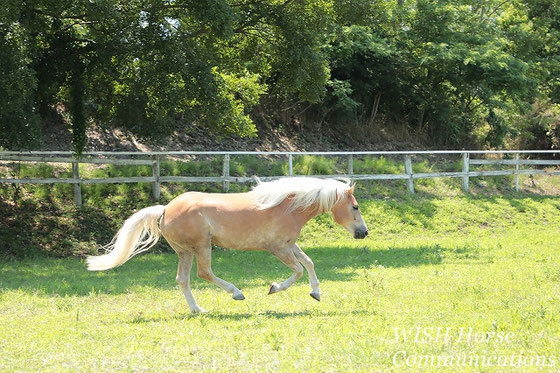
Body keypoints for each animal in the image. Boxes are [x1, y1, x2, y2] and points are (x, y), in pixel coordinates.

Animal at [86, 177, 368, 310]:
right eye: (355, 207)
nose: (363, 232)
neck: (287, 207)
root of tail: (165, 209)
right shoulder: (278, 248)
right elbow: (298, 270)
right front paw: (273, 288)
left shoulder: (289, 245)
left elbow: (309, 263)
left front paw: (316, 293)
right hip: (202, 246)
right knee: (204, 273)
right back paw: (237, 293)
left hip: (185, 251)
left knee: (183, 279)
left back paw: (198, 310)